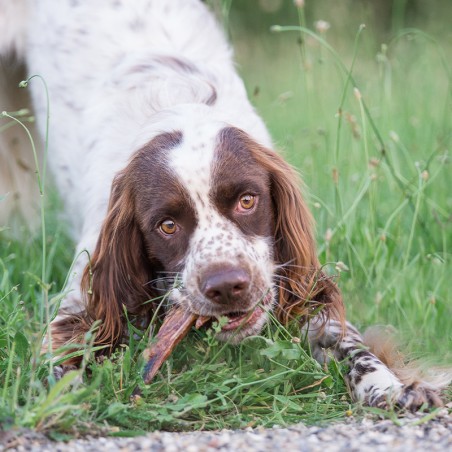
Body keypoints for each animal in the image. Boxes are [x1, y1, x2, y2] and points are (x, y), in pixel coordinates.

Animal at [0, 0, 448, 410]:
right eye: (167, 225)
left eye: (247, 200)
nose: (227, 286)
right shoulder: (81, 294)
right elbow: (62, 353)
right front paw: (59, 395)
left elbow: (352, 343)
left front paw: (389, 385)